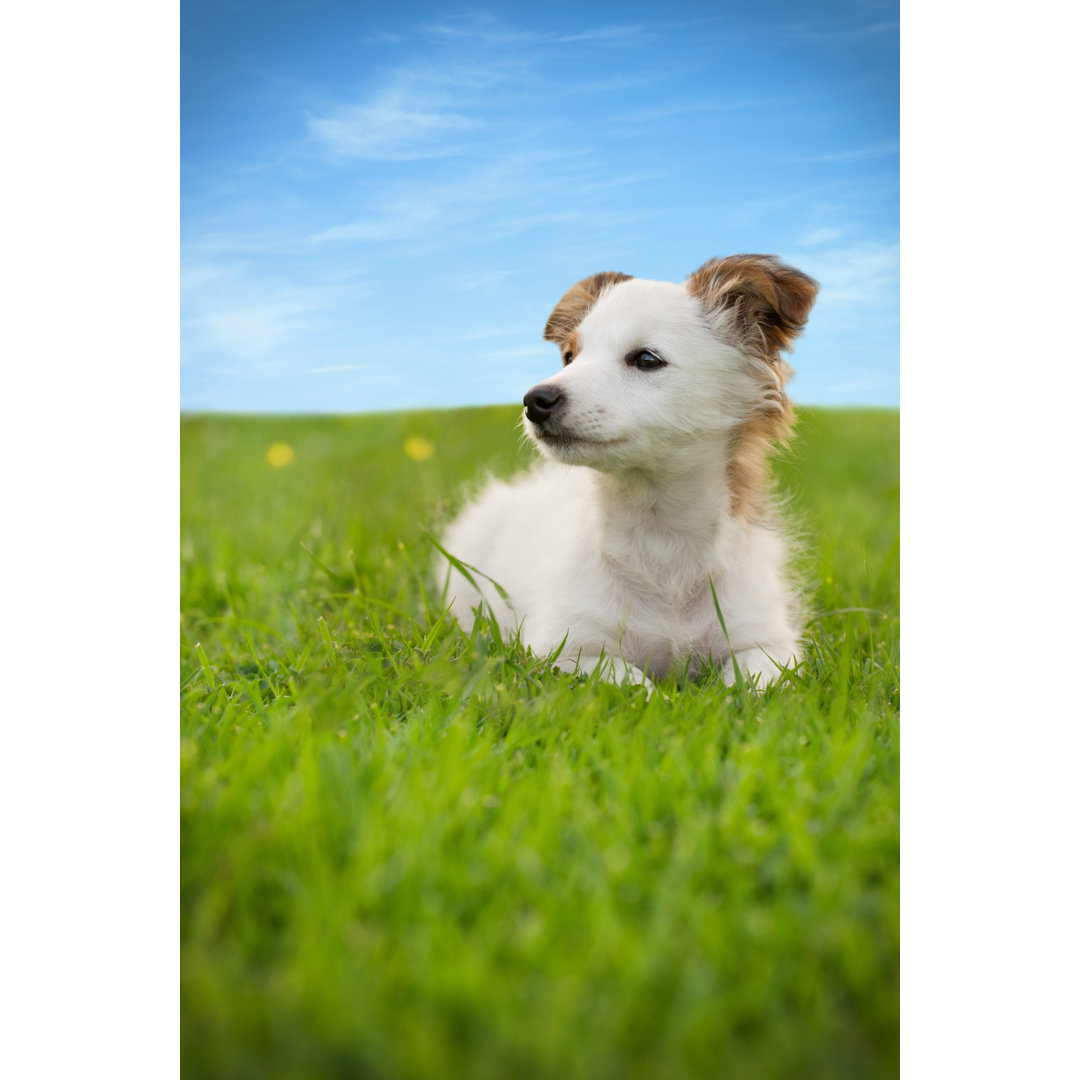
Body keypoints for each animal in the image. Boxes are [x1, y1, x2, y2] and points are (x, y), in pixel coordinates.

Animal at [440, 257, 816, 686]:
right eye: (569, 357)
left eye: (647, 359)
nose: (535, 399)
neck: (660, 537)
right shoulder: (566, 651)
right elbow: (631, 680)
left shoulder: (768, 645)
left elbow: (751, 684)